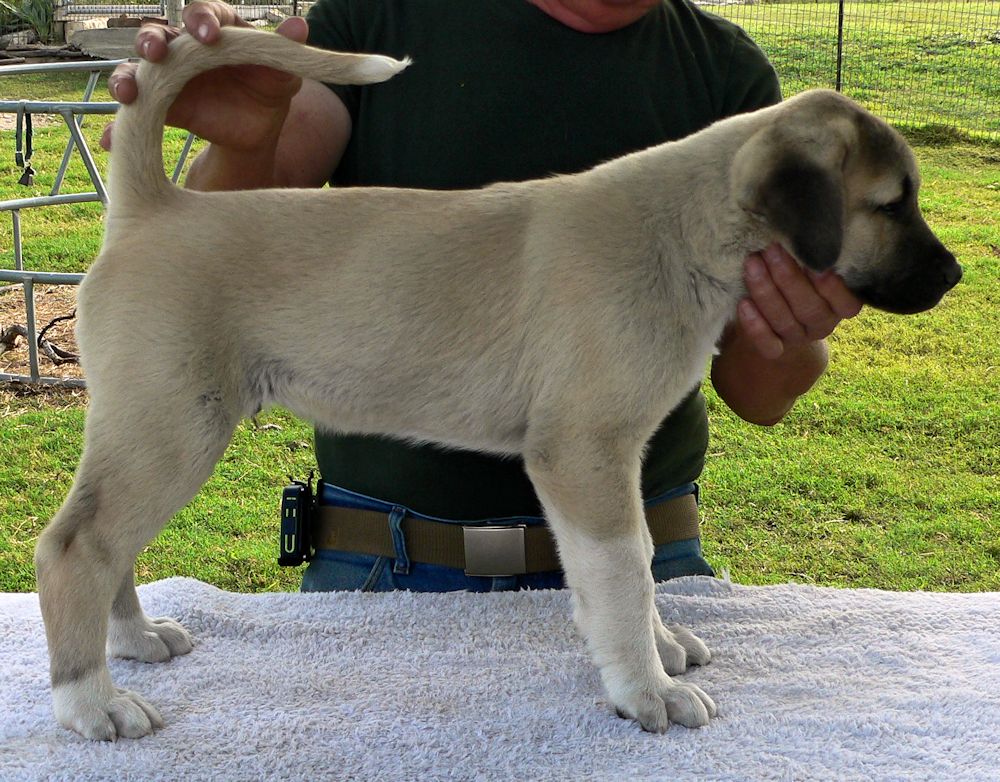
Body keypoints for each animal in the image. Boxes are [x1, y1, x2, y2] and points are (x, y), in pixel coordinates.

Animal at [33, 29, 960, 740]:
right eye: (891, 204)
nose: (953, 277)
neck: (686, 228)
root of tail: (153, 207)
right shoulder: (583, 453)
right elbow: (623, 572)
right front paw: (648, 693)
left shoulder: (608, 458)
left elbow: (634, 564)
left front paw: (657, 651)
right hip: (172, 428)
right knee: (77, 546)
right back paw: (93, 705)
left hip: (152, 430)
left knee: (108, 544)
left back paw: (135, 642)